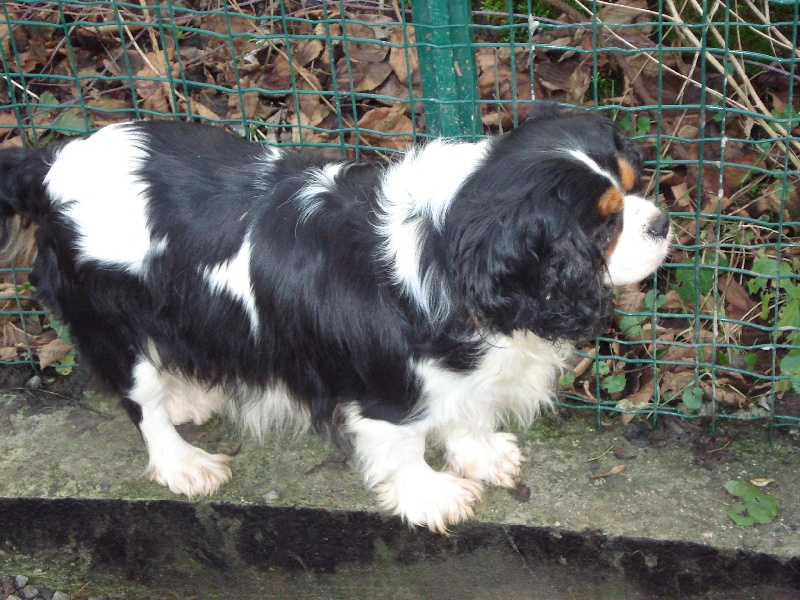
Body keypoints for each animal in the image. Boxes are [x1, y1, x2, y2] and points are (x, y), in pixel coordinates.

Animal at [0, 105, 676, 532]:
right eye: (604, 228)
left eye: (636, 186)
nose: (664, 221)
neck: (449, 244)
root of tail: (51, 165)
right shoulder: (387, 388)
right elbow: (403, 445)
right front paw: (433, 495)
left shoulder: (460, 372)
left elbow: (465, 411)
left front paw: (480, 453)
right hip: (110, 319)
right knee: (140, 402)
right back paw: (181, 461)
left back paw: (188, 395)